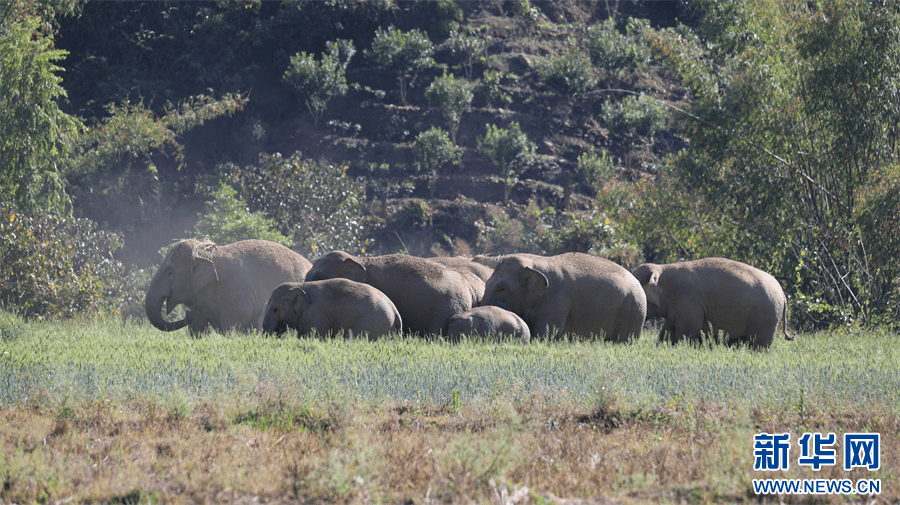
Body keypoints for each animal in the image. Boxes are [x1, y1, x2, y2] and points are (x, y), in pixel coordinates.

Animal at [145, 237, 312, 332]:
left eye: (169, 272)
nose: (187, 315)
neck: (210, 255)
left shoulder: (234, 291)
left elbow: (235, 323)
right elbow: (200, 326)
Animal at [260, 278, 400, 340]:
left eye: (275, 309)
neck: (300, 285)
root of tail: (394, 310)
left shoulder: (315, 315)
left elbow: (315, 336)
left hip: (372, 323)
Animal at [486, 252, 648, 342]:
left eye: (502, 288)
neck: (534, 262)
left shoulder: (556, 299)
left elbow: (546, 332)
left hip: (633, 310)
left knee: (624, 341)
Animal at [628, 258, 792, 348]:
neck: (663, 268)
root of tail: (783, 295)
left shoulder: (688, 301)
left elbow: (687, 333)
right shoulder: (676, 307)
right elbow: (668, 333)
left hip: (766, 316)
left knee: (759, 344)